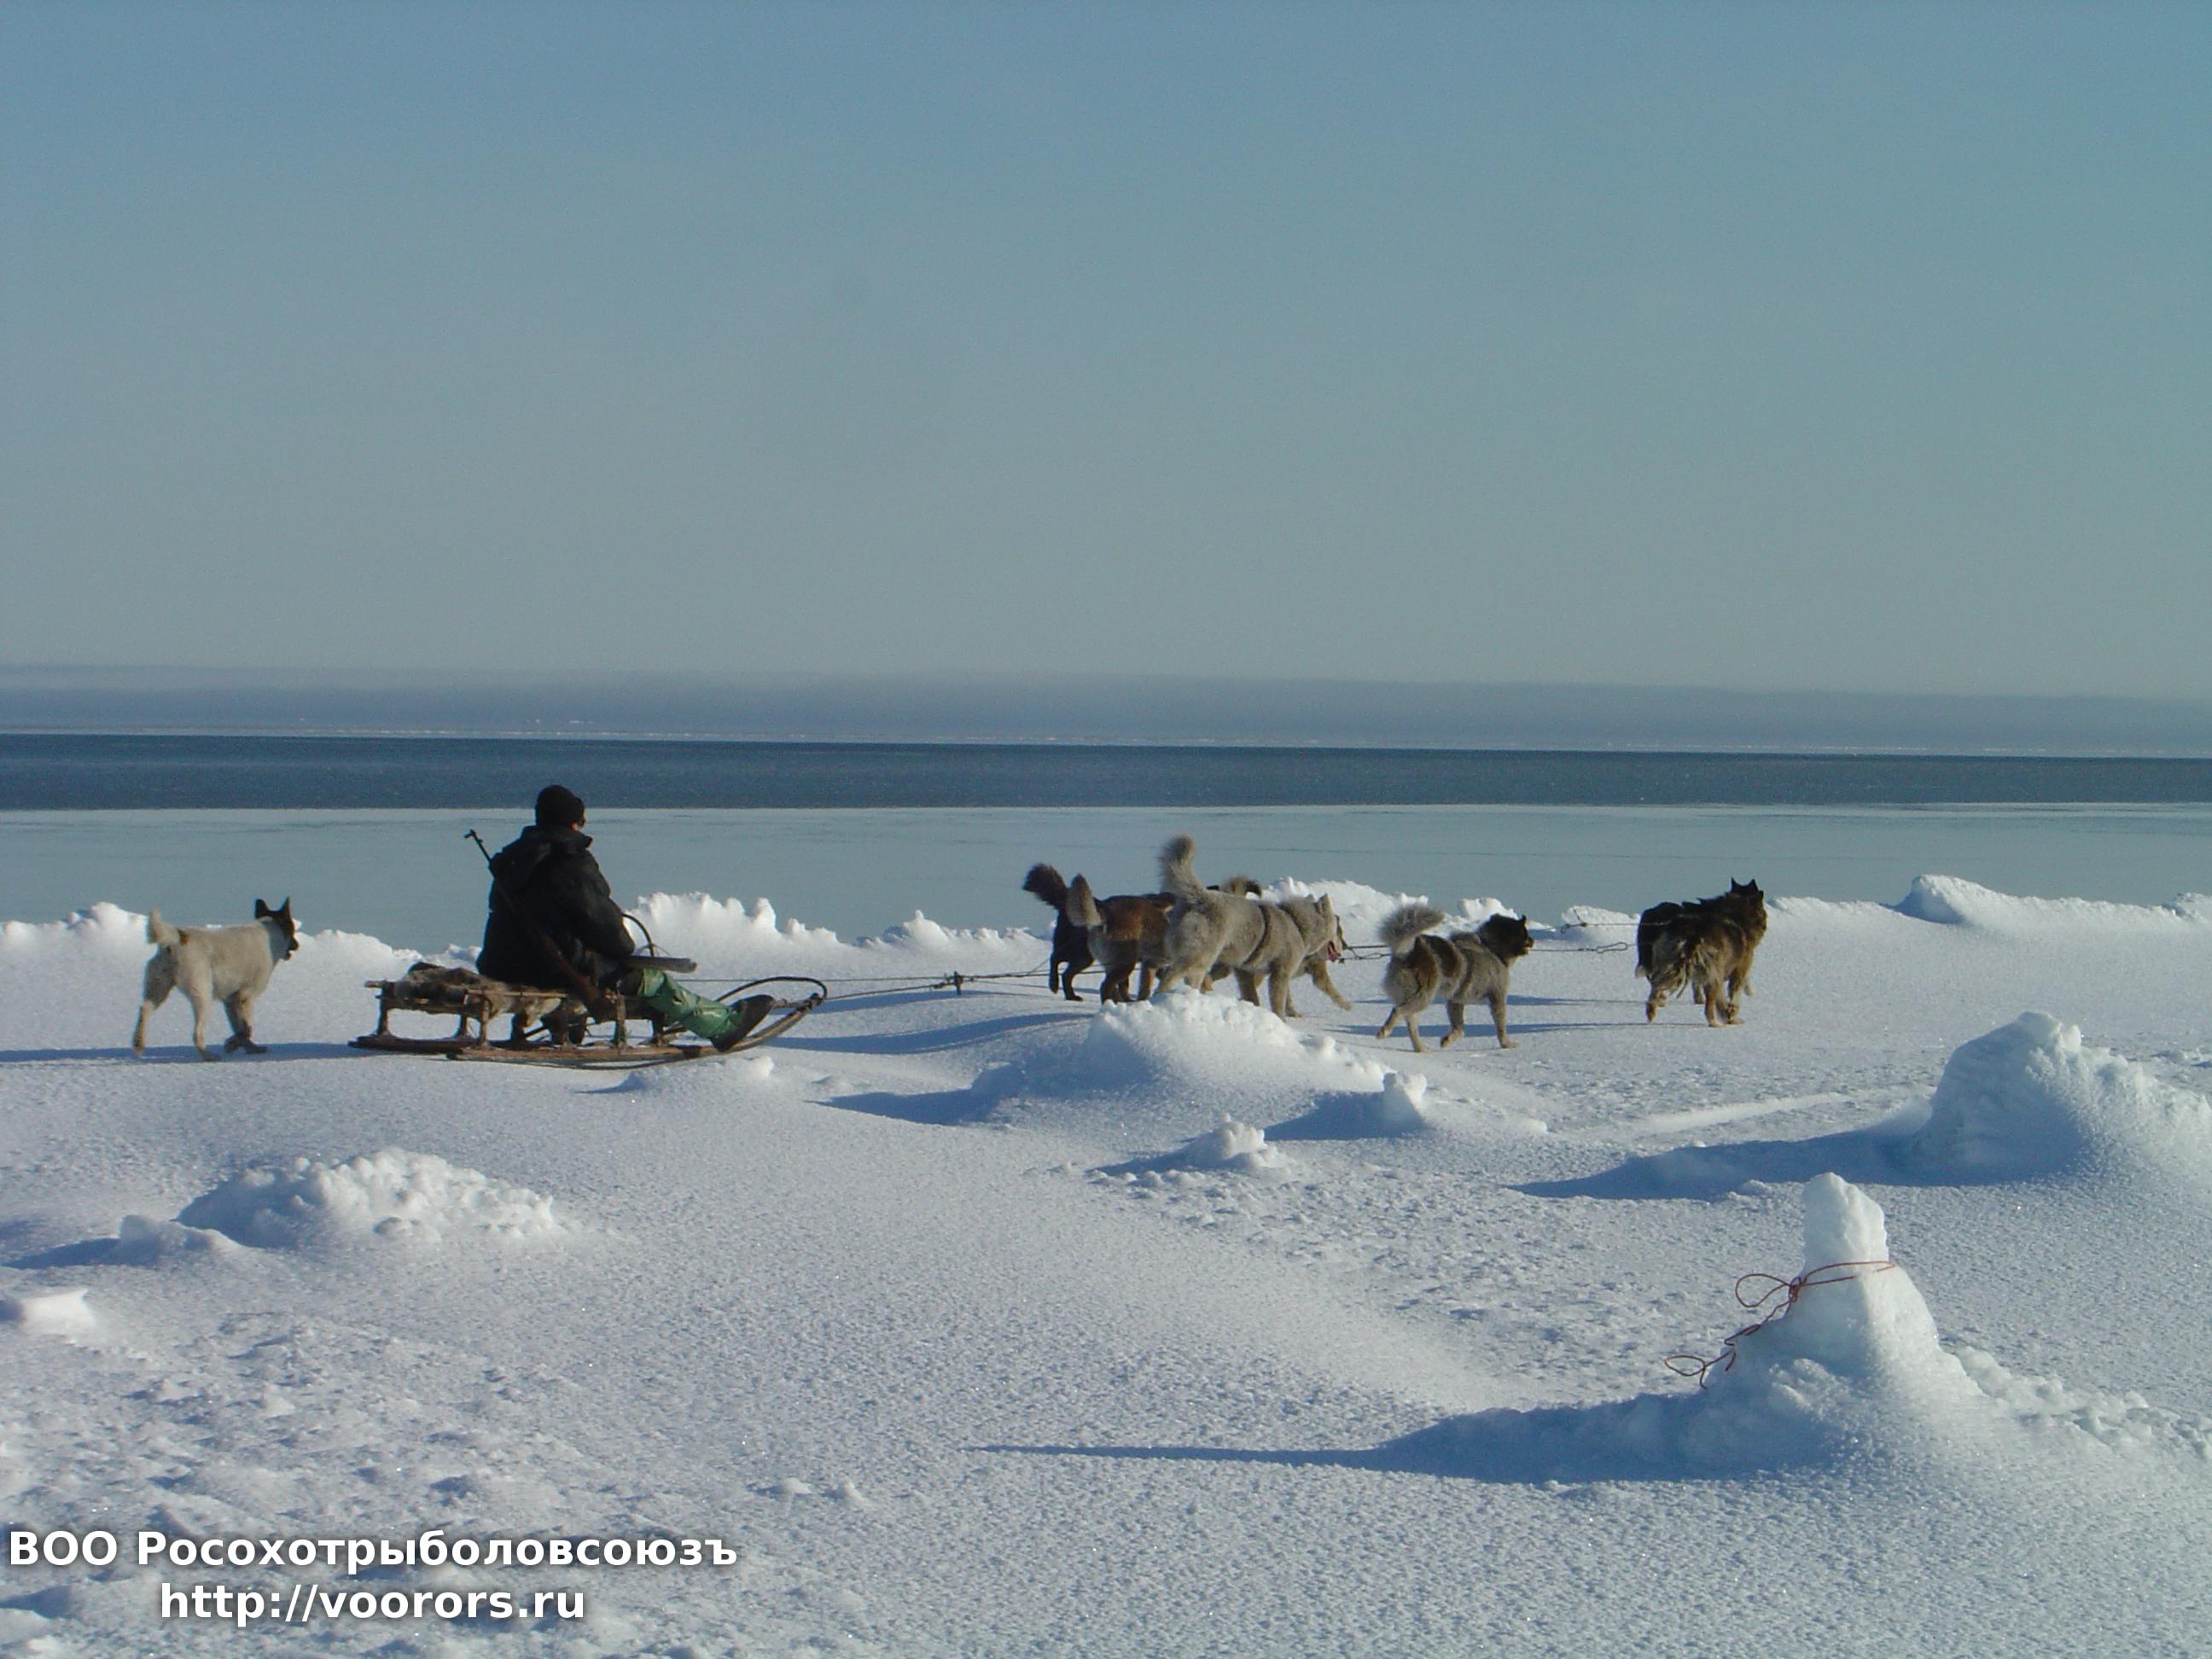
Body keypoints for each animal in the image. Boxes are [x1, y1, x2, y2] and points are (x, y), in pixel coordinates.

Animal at [132, 898, 300, 1059]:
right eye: (292, 930)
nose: (297, 945)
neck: (271, 933)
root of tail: (176, 939)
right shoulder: (245, 997)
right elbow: (246, 1030)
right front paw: (231, 1044)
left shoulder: (231, 1000)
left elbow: (240, 1028)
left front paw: (250, 1048)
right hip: (203, 997)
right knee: (197, 1034)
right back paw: (208, 1056)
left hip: (158, 990)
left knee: (143, 1010)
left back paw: (138, 1044)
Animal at [1154, 835, 1343, 1018]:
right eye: (1337, 927)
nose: (1342, 948)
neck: (1296, 923)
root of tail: (1201, 897)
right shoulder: (1280, 974)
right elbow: (1278, 1003)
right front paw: (1280, 1020)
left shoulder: (1245, 971)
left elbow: (1251, 995)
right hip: (1200, 956)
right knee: (1171, 974)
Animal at [1376, 904, 1534, 1051]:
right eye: (1526, 934)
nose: (1533, 941)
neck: (1491, 948)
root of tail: (1405, 953)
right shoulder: (1497, 998)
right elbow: (1500, 1027)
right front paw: (1507, 1044)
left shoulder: (1455, 1002)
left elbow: (1460, 1029)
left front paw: (1447, 1040)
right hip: (1422, 998)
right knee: (1397, 1010)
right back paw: (1384, 1032)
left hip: (1411, 999)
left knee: (1410, 1025)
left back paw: (1421, 1048)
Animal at [1642, 880, 1767, 1025]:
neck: (1736, 916)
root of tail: (1693, 932)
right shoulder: (1739, 971)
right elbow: (1734, 996)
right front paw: (1731, 1016)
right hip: (1712, 975)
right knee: (1709, 1007)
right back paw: (1715, 1024)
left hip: (1667, 964)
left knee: (1655, 988)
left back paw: (1651, 1011)